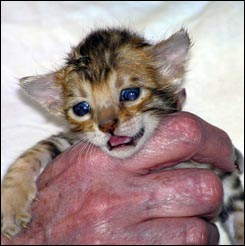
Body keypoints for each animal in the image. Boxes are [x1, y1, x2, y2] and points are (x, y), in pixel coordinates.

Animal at [1, 27, 243, 244]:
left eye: (130, 94)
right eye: (81, 109)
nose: (108, 126)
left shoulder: (223, 176)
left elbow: (239, 212)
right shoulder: (71, 140)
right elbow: (33, 153)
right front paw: (11, 206)